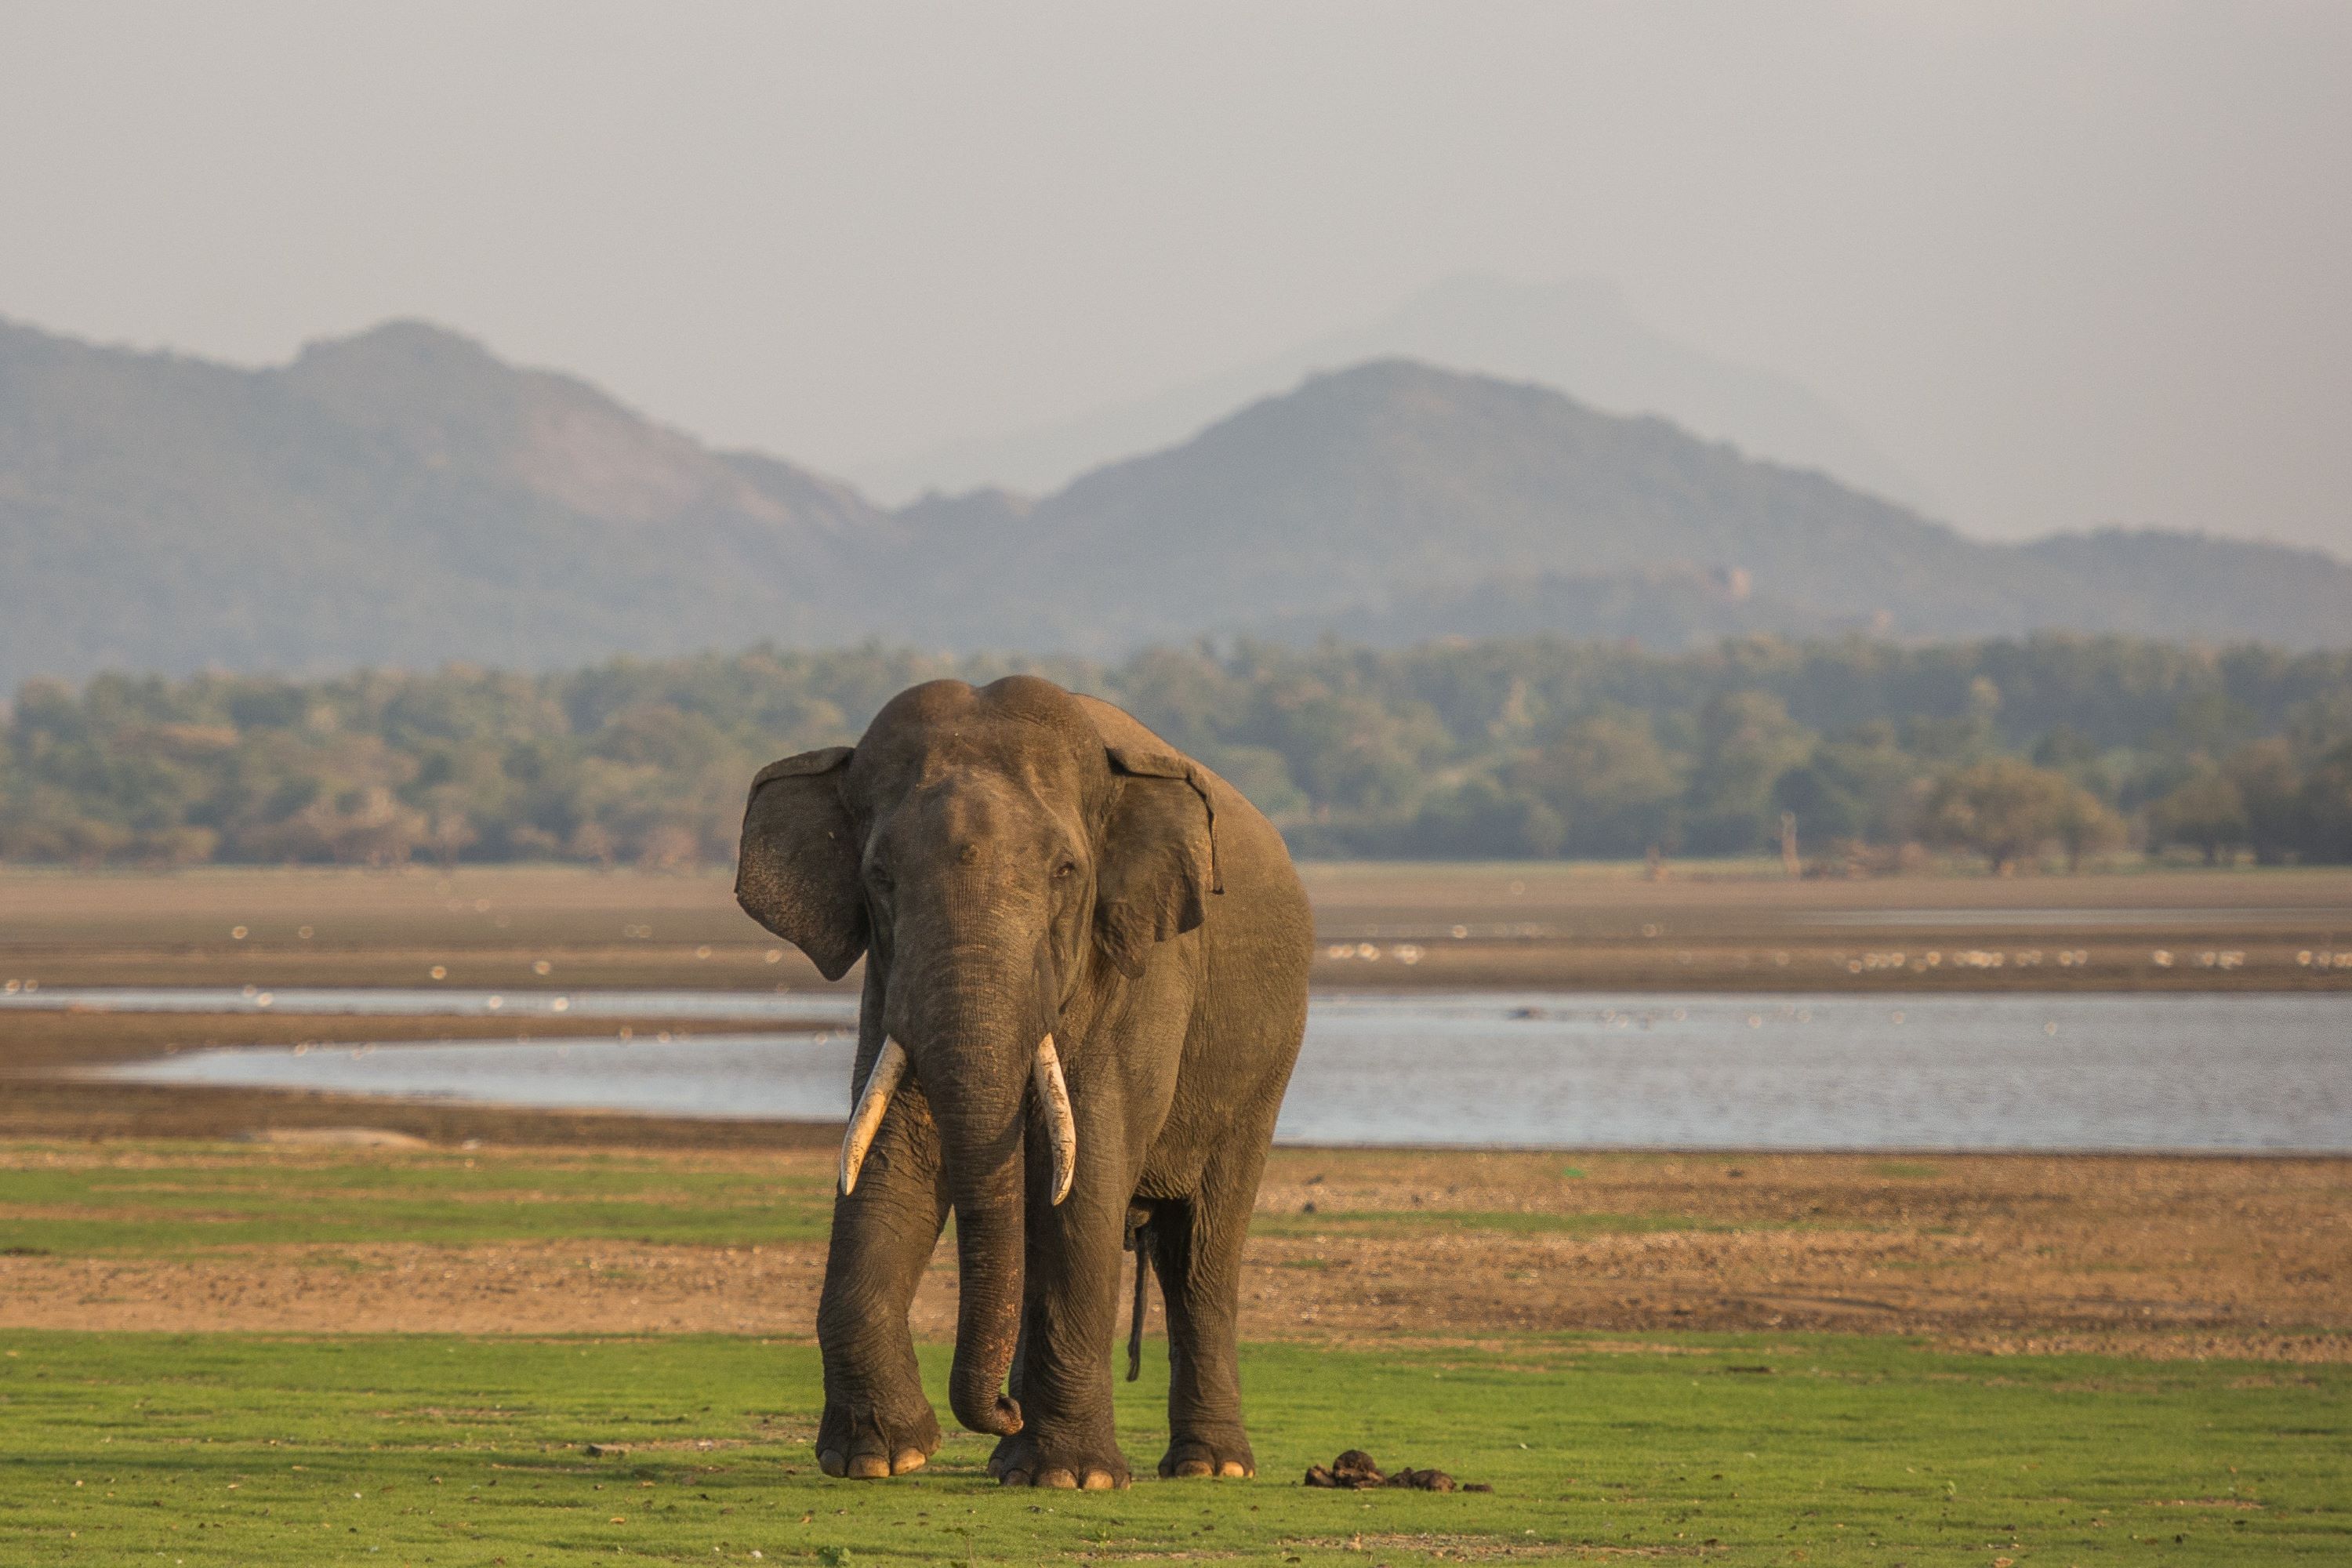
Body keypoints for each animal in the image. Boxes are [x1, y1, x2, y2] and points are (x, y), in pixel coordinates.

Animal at [735, 674, 1313, 1489]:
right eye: (879, 877)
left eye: (1066, 873)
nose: (1001, 1408)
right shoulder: (890, 980)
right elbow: (892, 1157)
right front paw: (879, 1458)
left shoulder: (1141, 967)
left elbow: (1089, 1170)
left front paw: (1074, 1478)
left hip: (1263, 1061)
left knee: (1199, 1248)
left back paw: (1210, 1469)